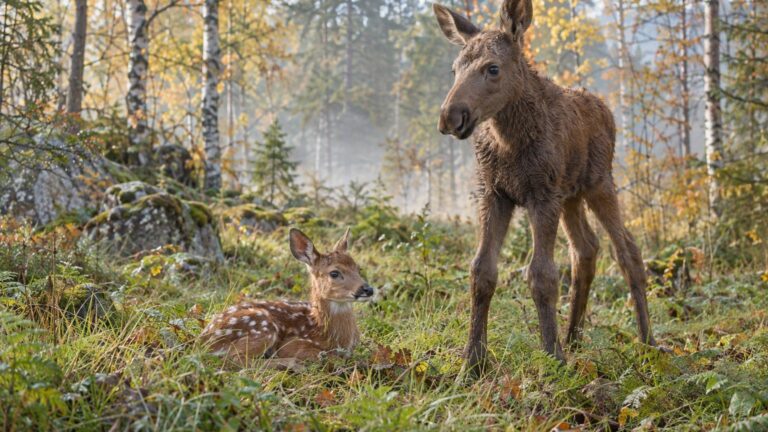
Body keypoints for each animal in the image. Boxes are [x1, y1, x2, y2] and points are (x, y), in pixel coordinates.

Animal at [200, 228, 375, 367]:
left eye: (358, 269)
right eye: (334, 273)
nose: (368, 289)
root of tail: (204, 340)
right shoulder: (292, 344)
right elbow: (327, 356)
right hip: (262, 327)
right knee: (236, 359)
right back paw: (292, 364)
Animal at [432, 0, 656, 372]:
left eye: (493, 68)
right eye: (454, 69)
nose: (450, 116)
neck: (509, 140)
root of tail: (607, 110)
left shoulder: (542, 195)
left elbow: (542, 275)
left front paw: (553, 356)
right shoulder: (494, 193)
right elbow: (481, 271)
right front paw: (472, 362)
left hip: (599, 184)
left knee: (628, 250)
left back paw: (647, 341)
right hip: (571, 196)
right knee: (586, 249)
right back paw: (574, 336)